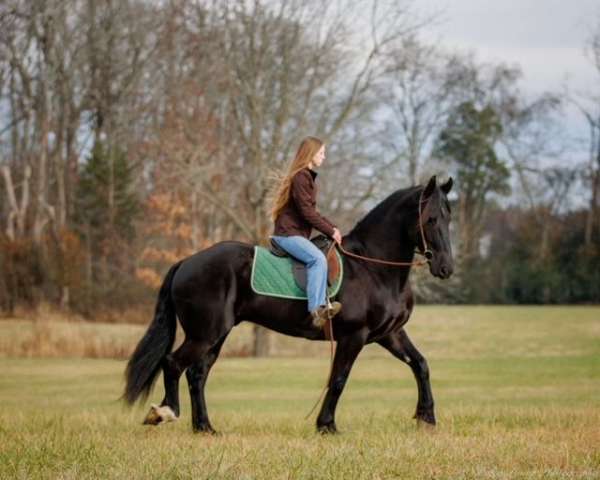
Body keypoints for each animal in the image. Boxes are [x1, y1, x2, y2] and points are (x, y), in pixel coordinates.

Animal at [124, 174, 452, 434]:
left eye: (448, 217)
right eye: (431, 219)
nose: (446, 268)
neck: (372, 266)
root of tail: (186, 262)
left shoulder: (389, 333)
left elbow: (420, 364)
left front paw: (427, 417)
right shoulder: (354, 336)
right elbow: (338, 379)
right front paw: (326, 425)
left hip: (216, 334)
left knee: (196, 373)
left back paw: (204, 427)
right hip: (205, 334)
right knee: (173, 364)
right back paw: (166, 413)